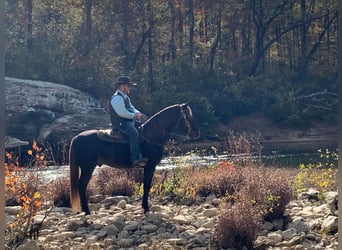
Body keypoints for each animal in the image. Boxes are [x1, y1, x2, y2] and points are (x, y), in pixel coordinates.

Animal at [69, 102, 200, 214]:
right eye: (187, 116)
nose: (196, 133)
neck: (150, 136)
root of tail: (76, 137)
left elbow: (146, 185)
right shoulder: (150, 166)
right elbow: (147, 186)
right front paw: (146, 208)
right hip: (87, 167)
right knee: (81, 185)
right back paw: (87, 211)